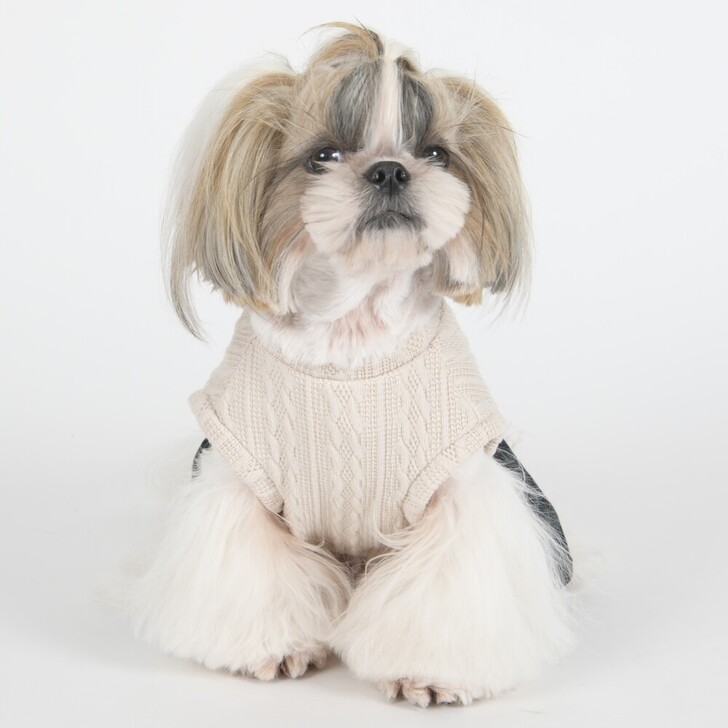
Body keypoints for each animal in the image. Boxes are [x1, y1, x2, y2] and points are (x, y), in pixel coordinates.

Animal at [129, 22, 575, 706]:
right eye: (324, 156)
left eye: (436, 153)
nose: (390, 170)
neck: (353, 338)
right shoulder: (239, 478)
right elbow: (256, 563)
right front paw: (279, 646)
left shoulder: (461, 485)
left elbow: (445, 578)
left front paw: (428, 671)